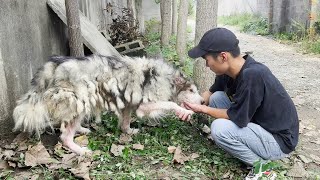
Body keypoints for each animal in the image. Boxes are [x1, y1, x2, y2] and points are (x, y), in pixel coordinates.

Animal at [12, 54, 204, 154]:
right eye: (192, 90)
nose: (203, 101)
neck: (168, 79)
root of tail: (56, 63)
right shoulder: (145, 106)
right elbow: (171, 105)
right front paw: (183, 111)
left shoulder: (128, 104)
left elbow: (125, 122)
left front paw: (128, 131)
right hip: (81, 100)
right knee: (65, 136)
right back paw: (80, 150)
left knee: (68, 123)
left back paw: (81, 129)